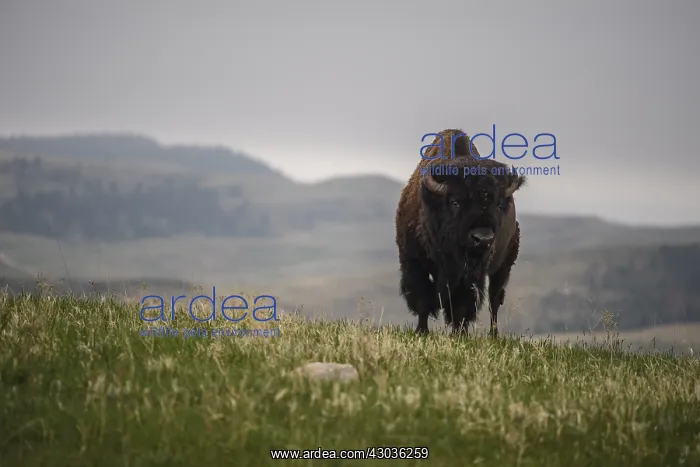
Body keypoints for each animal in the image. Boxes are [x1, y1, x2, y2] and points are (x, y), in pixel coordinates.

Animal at [395, 129, 526, 337]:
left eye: (498, 205)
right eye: (455, 202)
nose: (483, 239)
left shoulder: (469, 275)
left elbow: (461, 307)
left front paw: (458, 334)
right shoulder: (415, 264)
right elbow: (423, 300)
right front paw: (421, 331)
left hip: (503, 265)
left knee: (494, 300)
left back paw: (494, 335)